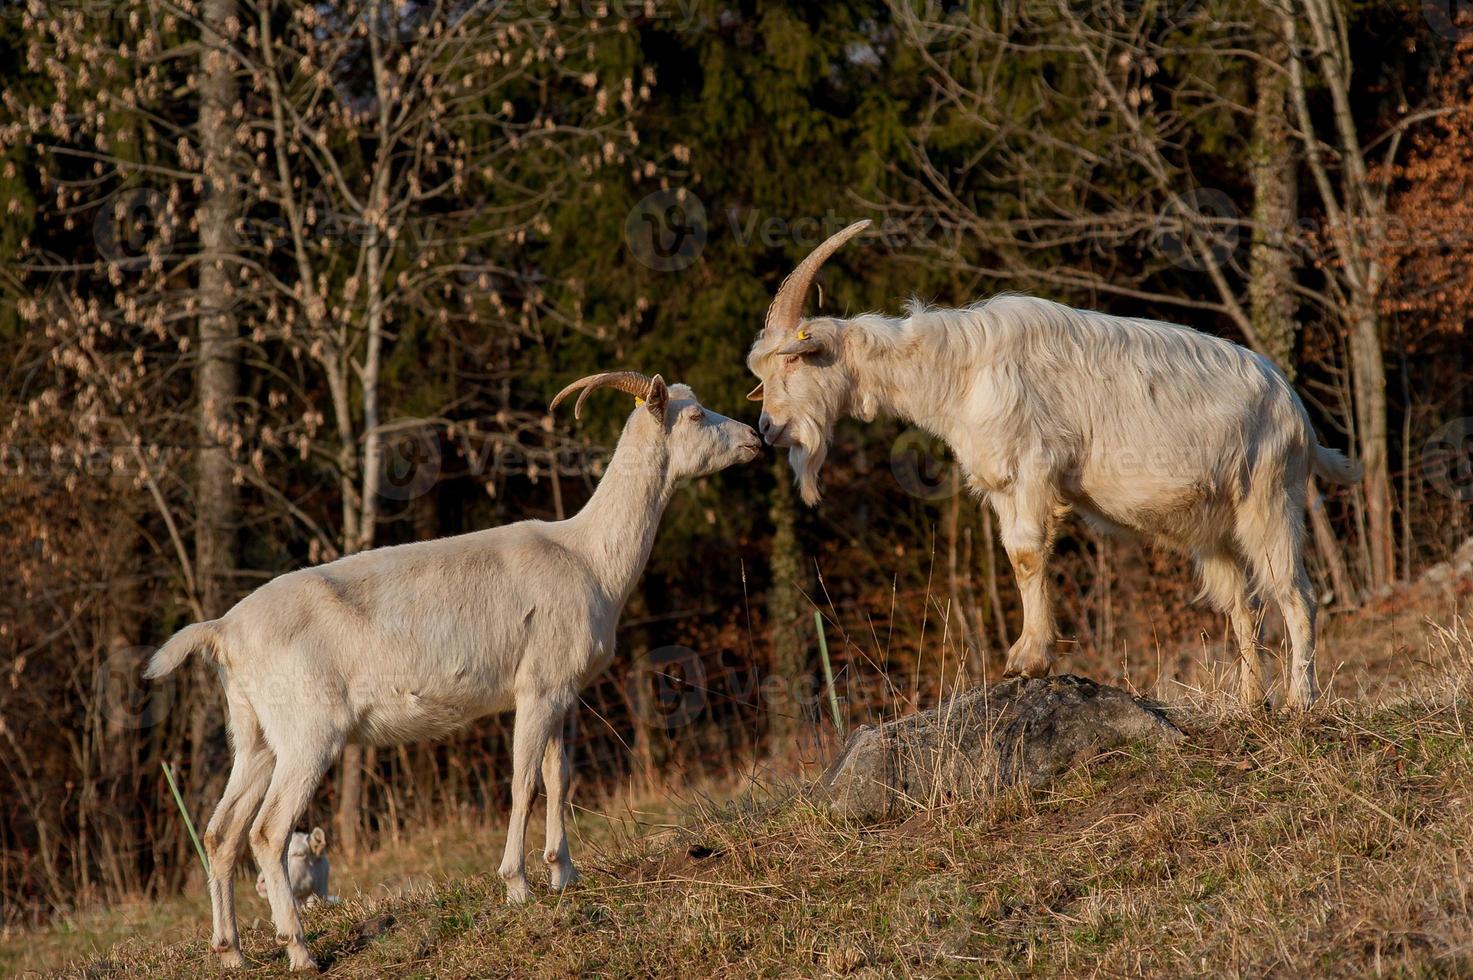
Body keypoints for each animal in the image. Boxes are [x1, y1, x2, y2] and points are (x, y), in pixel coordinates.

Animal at [143, 371, 760, 966]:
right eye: (696, 414)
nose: (755, 436)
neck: (590, 559)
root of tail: (223, 631)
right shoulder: (536, 687)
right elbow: (523, 783)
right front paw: (518, 886)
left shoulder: (560, 689)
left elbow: (559, 777)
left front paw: (564, 873)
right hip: (308, 731)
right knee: (269, 832)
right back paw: (299, 949)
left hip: (254, 734)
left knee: (220, 833)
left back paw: (231, 952)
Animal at [754, 219, 1361, 710]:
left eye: (790, 364)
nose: (766, 428)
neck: (959, 366)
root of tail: (1298, 411)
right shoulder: (1000, 482)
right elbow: (1014, 555)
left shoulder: (1032, 467)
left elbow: (1027, 554)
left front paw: (1029, 659)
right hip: (1215, 527)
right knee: (1240, 604)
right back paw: (1248, 702)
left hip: (1270, 497)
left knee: (1295, 593)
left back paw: (1299, 702)